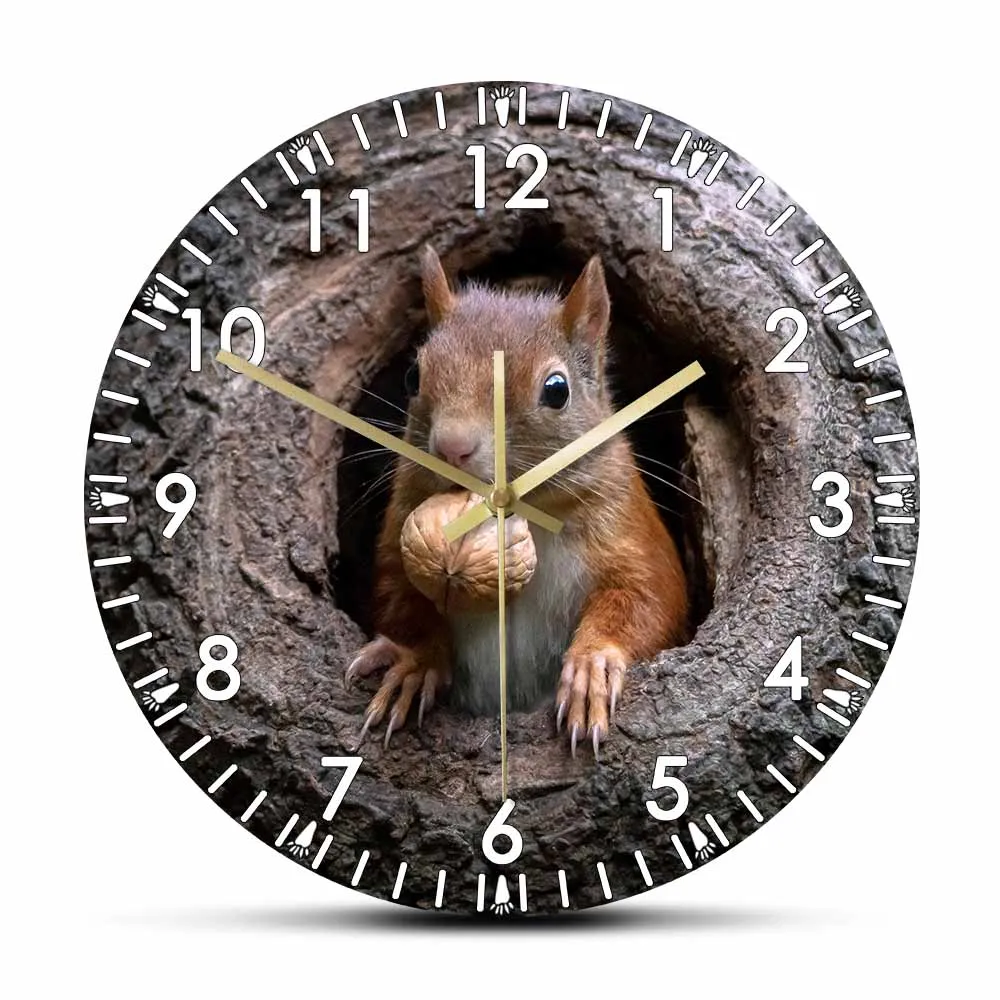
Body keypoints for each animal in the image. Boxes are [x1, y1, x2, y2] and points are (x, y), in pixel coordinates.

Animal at [345, 246, 689, 755]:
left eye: (557, 390)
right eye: (412, 375)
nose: (452, 446)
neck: (528, 516)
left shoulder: (629, 529)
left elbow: (650, 598)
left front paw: (591, 667)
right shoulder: (400, 523)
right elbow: (399, 598)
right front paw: (413, 662)